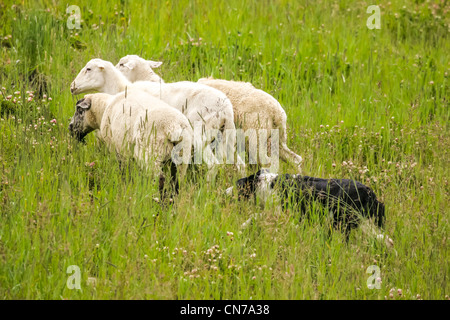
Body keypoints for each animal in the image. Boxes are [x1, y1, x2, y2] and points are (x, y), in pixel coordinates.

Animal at [71, 58, 246, 178]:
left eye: (88, 69)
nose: (72, 86)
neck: (121, 88)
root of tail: (225, 108)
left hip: (201, 134)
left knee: (213, 165)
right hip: (226, 136)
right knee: (240, 164)